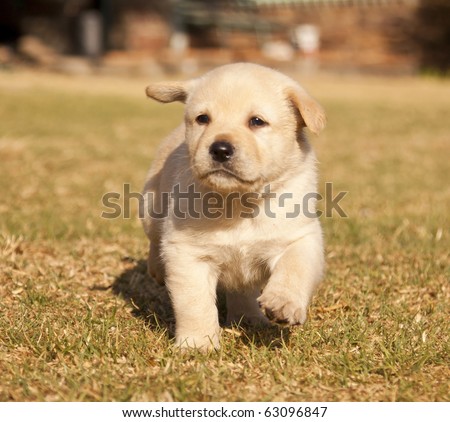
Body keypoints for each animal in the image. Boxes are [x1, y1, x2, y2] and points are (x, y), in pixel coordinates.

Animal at [142, 61, 326, 348]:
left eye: (257, 121)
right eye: (203, 119)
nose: (220, 149)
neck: (240, 202)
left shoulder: (301, 236)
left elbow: (294, 268)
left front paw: (283, 302)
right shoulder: (187, 253)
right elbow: (195, 304)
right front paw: (197, 344)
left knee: (243, 292)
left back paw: (250, 319)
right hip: (150, 206)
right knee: (153, 238)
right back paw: (157, 268)